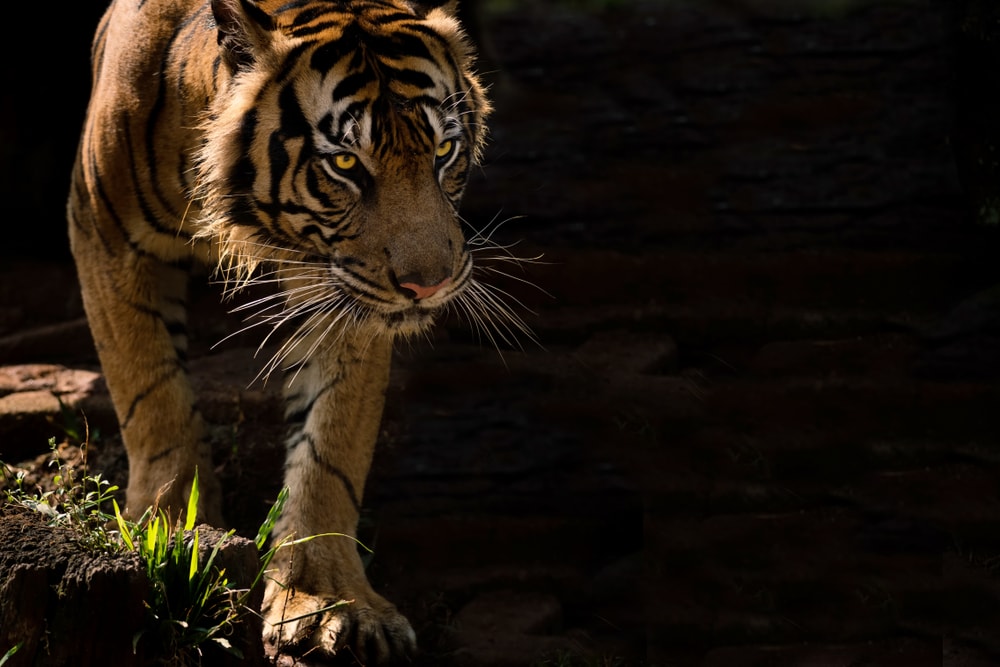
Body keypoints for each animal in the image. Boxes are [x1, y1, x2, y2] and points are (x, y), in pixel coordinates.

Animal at [67, 0, 508, 662]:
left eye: (445, 151)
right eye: (346, 163)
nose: (427, 286)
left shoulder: (346, 287)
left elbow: (332, 446)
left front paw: (327, 600)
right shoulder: (103, 228)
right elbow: (153, 397)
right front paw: (169, 533)